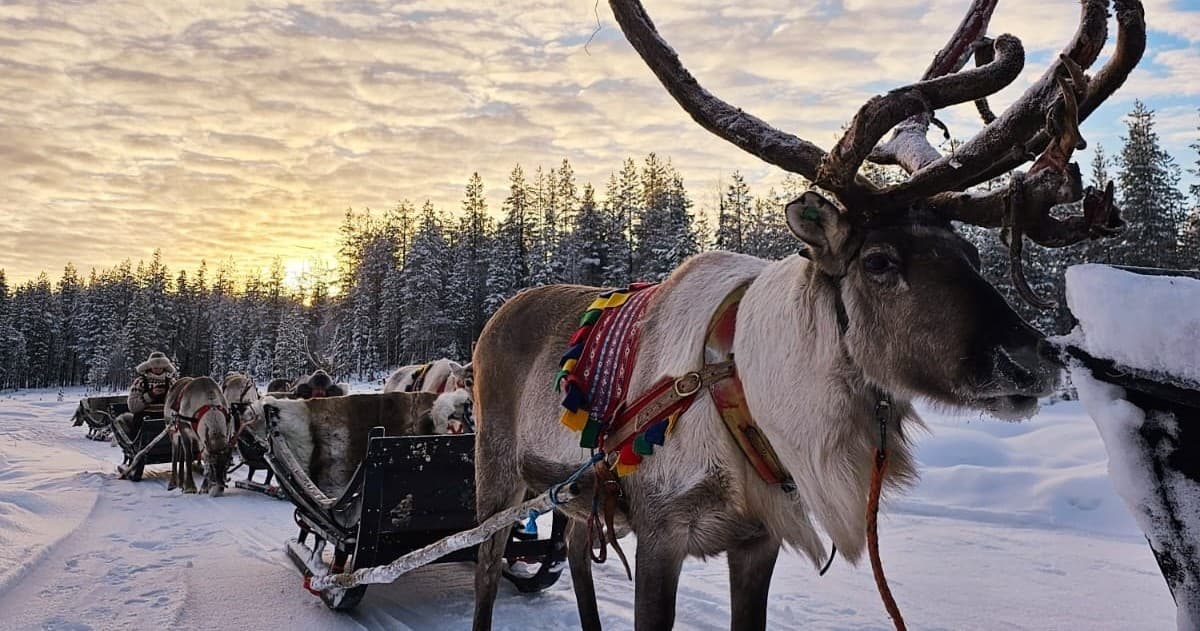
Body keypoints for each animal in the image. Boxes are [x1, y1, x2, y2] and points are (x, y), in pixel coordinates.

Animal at [470, 0, 1145, 629]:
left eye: (972, 254)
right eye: (878, 260)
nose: (1034, 359)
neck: (749, 387)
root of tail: (498, 316)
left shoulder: (758, 540)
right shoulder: (662, 533)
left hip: (577, 499)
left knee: (576, 553)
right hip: (495, 474)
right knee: (486, 571)